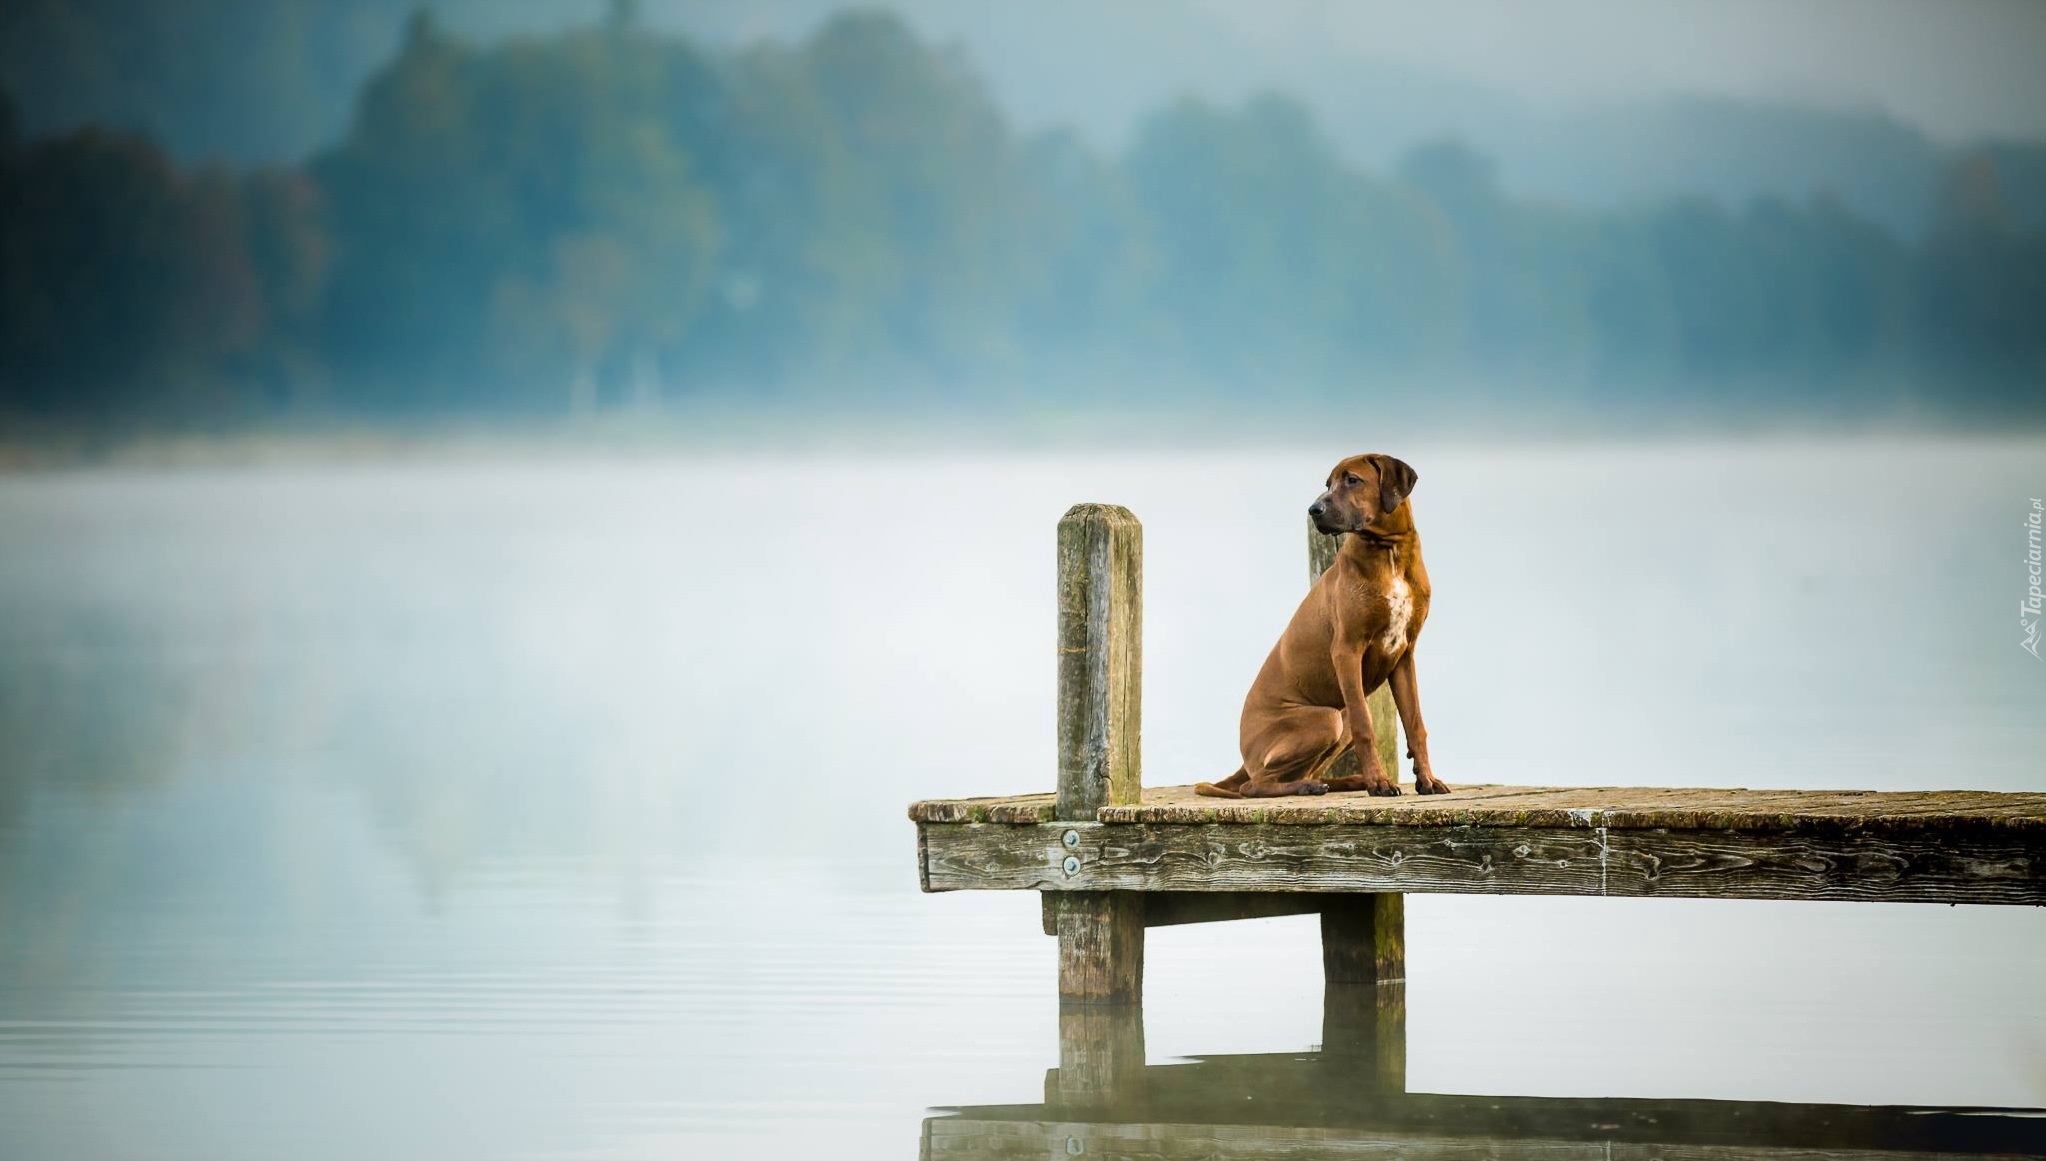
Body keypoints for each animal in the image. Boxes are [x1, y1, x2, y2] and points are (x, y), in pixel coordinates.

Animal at [1194, 456, 1448, 798]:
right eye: (1328, 483)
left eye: (1352, 480)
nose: (1313, 509)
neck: (1389, 551)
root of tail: (1244, 759)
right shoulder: (1347, 650)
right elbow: (1366, 727)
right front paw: (1379, 783)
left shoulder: (1404, 656)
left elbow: (1415, 724)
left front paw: (1427, 780)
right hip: (1328, 718)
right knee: (1254, 785)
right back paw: (1311, 786)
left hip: (1339, 718)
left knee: (1303, 770)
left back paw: (1344, 781)